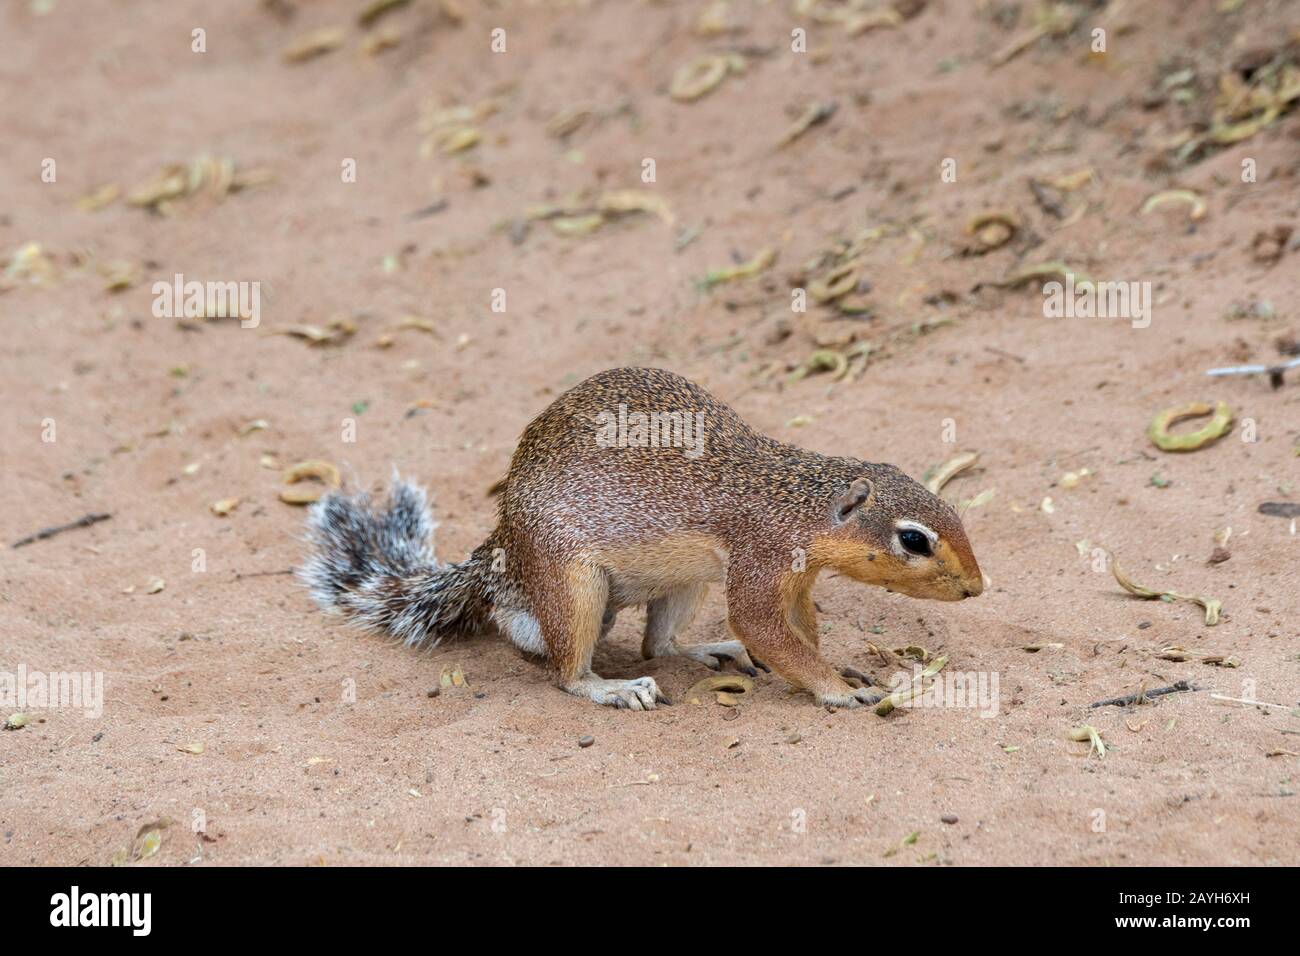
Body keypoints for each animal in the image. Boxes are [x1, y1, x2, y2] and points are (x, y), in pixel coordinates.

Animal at [302, 367, 983, 710]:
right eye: (915, 540)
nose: (977, 588)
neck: (796, 501)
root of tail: (502, 553)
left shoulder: (795, 578)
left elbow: (799, 630)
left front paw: (831, 665)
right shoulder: (762, 556)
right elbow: (766, 628)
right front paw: (839, 689)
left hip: (683, 581)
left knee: (660, 642)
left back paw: (710, 649)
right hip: (572, 583)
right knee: (567, 671)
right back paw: (611, 687)